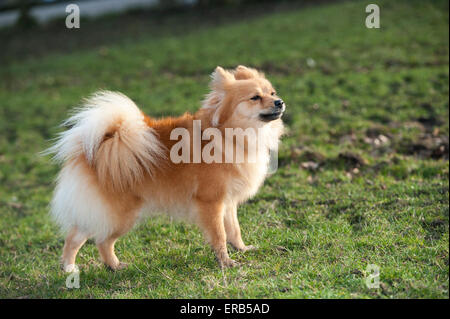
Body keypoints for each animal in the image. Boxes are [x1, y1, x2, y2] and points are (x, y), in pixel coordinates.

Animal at [45, 66, 284, 272]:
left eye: (272, 92)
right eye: (255, 97)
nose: (279, 102)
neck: (227, 134)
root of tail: (96, 148)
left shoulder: (228, 202)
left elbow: (234, 229)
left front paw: (242, 249)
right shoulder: (211, 202)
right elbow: (220, 235)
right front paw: (225, 262)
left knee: (76, 237)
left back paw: (77, 267)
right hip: (121, 215)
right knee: (101, 240)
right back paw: (103, 266)